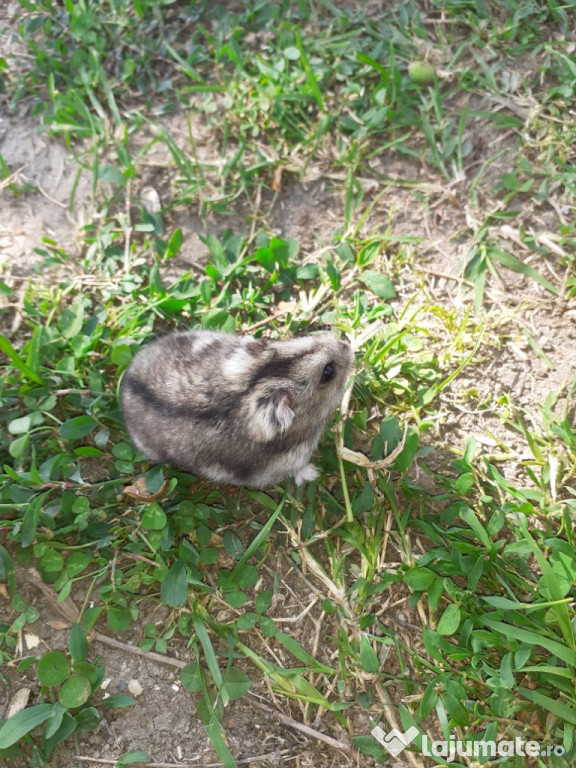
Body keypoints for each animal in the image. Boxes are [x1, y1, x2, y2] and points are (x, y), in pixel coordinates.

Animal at [121, 328, 352, 486]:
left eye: (304, 338)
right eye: (327, 372)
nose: (348, 344)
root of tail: (126, 382)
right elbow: (298, 471)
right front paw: (314, 473)